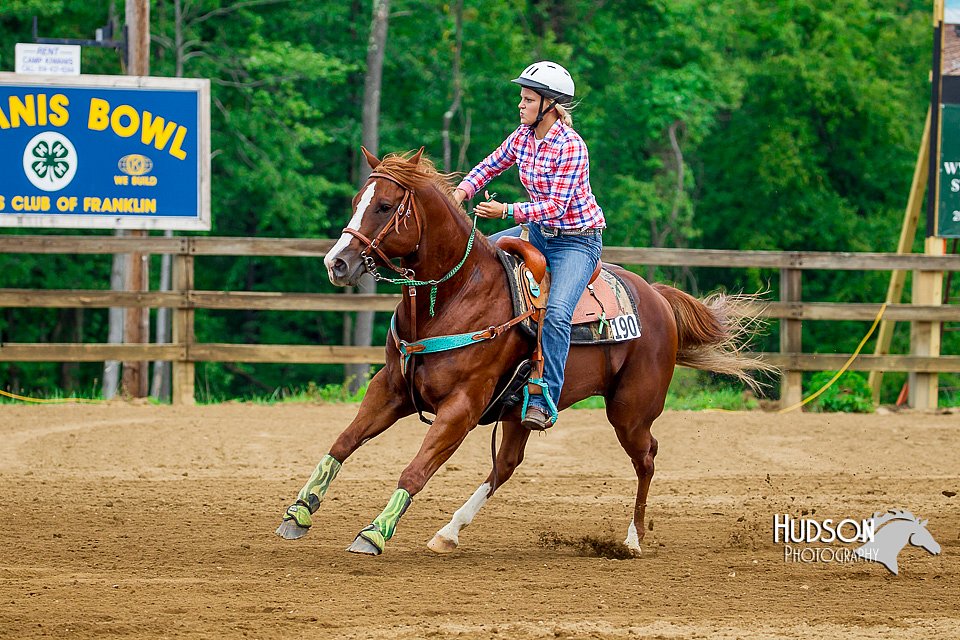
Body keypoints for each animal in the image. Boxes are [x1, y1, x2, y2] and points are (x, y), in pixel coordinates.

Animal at [274, 149, 768, 556]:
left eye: (383, 206)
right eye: (357, 198)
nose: (336, 263)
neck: (454, 296)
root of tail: (658, 298)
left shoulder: (462, 407)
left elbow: (415, 470)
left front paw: (374, 533)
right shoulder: (391, 388)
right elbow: (342, 443)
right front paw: (299, 512)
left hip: (630, 410)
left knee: (646, 456)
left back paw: (632, 539)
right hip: (520, 411)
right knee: (507, 464)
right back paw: (448, 532)